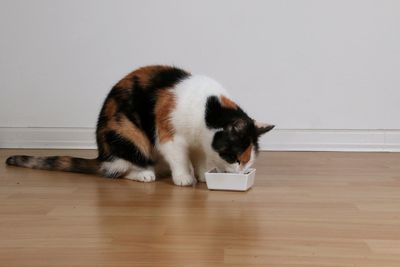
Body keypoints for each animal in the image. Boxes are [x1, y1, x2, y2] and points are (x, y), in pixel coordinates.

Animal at [6, 65, 276, 186]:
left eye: (248, 162)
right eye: (236, 159)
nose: (241, 174)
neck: (207, 109)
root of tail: (101, 156)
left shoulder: (199, 144)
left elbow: (199, 158)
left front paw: (201, 175)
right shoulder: (168, 136)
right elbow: (179, 157)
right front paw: (184, 178)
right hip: (130, 136)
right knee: (118, 169)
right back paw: (145, 173)